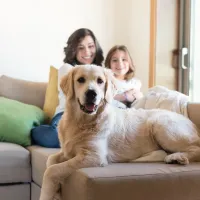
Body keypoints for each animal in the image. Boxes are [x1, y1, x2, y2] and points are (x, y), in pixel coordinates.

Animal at [39, 65, 200, 199]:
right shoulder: (66, 151)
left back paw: (178, 157)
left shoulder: (94, 156)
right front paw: (57, 190)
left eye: (100, 81)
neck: (80, 121)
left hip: (161, 125)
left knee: (196, 149)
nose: (91, 93)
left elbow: (51, 170)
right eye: (80, 80)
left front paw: (48, 193)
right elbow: (50, 160)